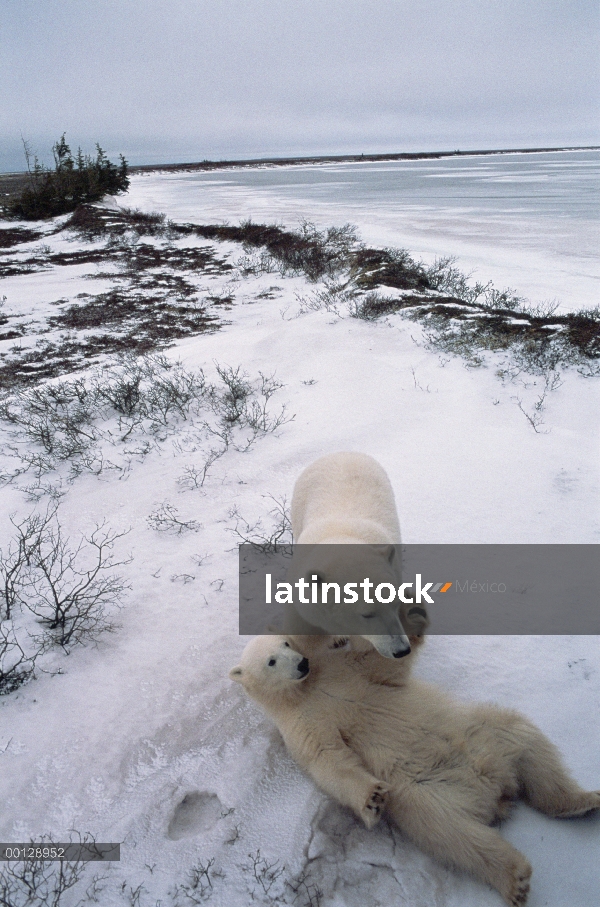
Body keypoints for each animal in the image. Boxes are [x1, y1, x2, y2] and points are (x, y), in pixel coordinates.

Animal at [230, 636, 600, 907]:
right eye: (270, 661)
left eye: (286, 644)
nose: (301, 664)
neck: (306, 690)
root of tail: (496, 790)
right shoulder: (300, 726)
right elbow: (328, 760)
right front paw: (372, 798)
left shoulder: (345, 672)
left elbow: (381, 665)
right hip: (425, 793)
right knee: (456, 834)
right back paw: (515, 879)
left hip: (483, 732)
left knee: (525, 739)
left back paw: (582, 800)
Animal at [284, 454, 424, 660]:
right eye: (367, 613)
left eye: (395, 603)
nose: (401, 650)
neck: (342, 538)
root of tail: (342, 452)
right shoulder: (304, 605)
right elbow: (305, 637)